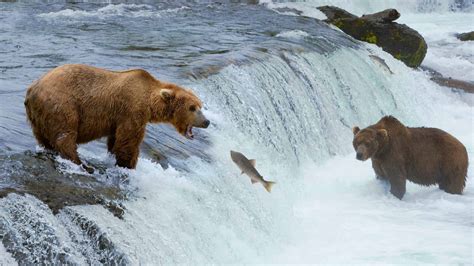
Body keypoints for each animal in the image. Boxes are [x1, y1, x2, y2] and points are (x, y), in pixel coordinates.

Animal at [24, 64, 209, 172]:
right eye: (192, 108)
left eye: (200, 105)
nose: (206, 122)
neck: (149, 102)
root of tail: (32, 89)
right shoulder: (131, 110)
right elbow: (128, 141)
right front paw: (128, 164)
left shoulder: (117, 119)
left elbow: (115, 140)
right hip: (63, 105)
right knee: (65, 135)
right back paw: (81, 163)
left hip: (38, 117)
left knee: (44, 138)